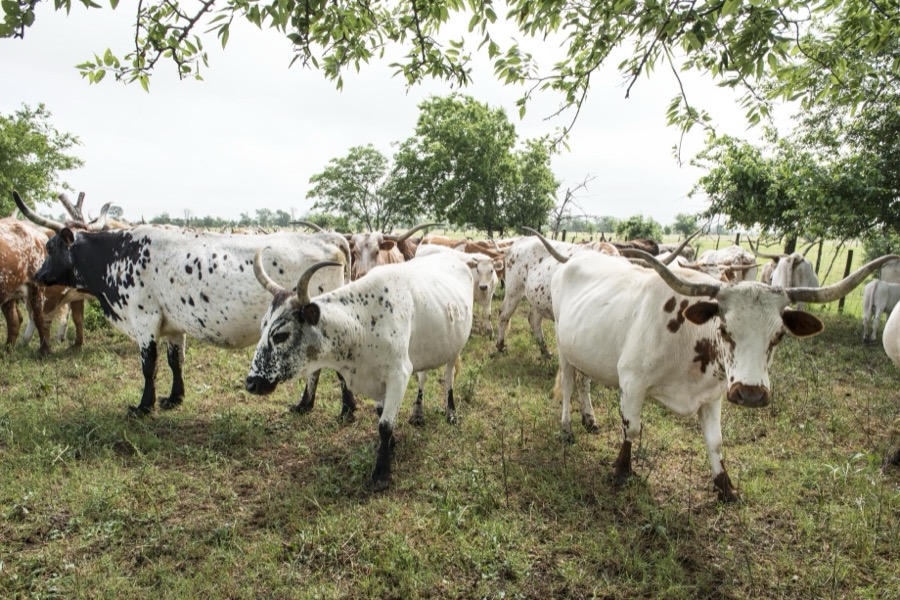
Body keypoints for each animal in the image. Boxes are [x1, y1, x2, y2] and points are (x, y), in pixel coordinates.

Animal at [14, 191, 354, 417]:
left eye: (51, 245)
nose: (38, 274)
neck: (119, 254)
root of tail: (330, 239)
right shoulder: (172, 326)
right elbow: (174, 361)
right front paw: (174, 398)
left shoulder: (144, 320)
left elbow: (148, 365)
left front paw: (143, 406)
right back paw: (305, 405)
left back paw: (346, 410)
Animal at [245, 251, 474, 491]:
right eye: (262, 327)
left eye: (280, 335)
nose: (251, 383)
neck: (363, 322)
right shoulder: (374, 379)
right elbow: (381, 416)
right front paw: (391, 446)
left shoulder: (398, 375)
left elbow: (385, 425)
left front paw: (381, 474)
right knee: (423, 375)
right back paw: (417, 413)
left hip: (456, 348)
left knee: (449, 377)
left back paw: (451, 413)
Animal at [531, 230, 897, 501]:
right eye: (724, 328)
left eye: (778, 336)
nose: (751, 394)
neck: (690, 337)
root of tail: (577, 258)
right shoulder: (633, 382)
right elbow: (631, 428)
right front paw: (622, 472)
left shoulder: (713, 395)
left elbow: (716, 442)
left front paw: (725, 487)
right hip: (564, 347)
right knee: (569, 384)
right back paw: (567, 427)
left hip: (587, 350)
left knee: (585, 382)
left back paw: (589, 419)